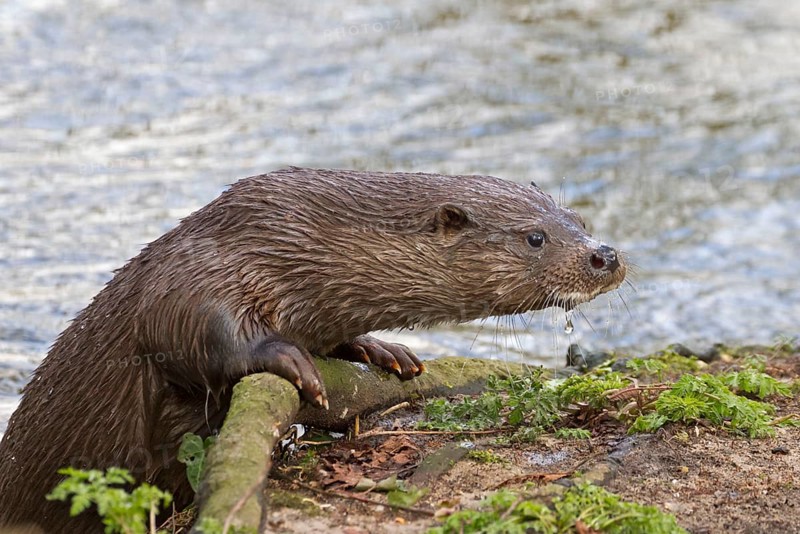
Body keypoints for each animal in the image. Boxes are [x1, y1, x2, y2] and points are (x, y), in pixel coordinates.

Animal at [0, 167, 626, 532]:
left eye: (579, 218)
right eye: (535, 237)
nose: (607, 255)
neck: (294, 245)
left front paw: (382, 350)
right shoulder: (195, 274)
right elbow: (191, 331)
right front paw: (289, 358)